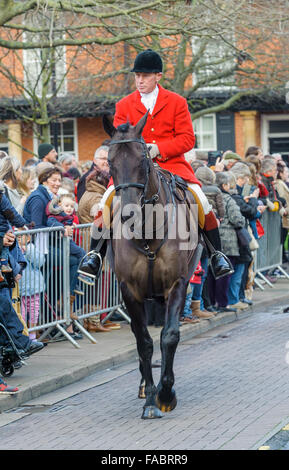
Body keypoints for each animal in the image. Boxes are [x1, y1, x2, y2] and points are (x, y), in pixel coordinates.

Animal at [102, 113, 201, 418]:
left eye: (143, 160)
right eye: (110, 162)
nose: (128, 213)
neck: (147, 234)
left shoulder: (177, 284)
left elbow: (169, 336)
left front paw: (166, 394)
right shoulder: (129, 291)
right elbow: (144, 342)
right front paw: (150, 399)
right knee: (139, 335)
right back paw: (146, 387)